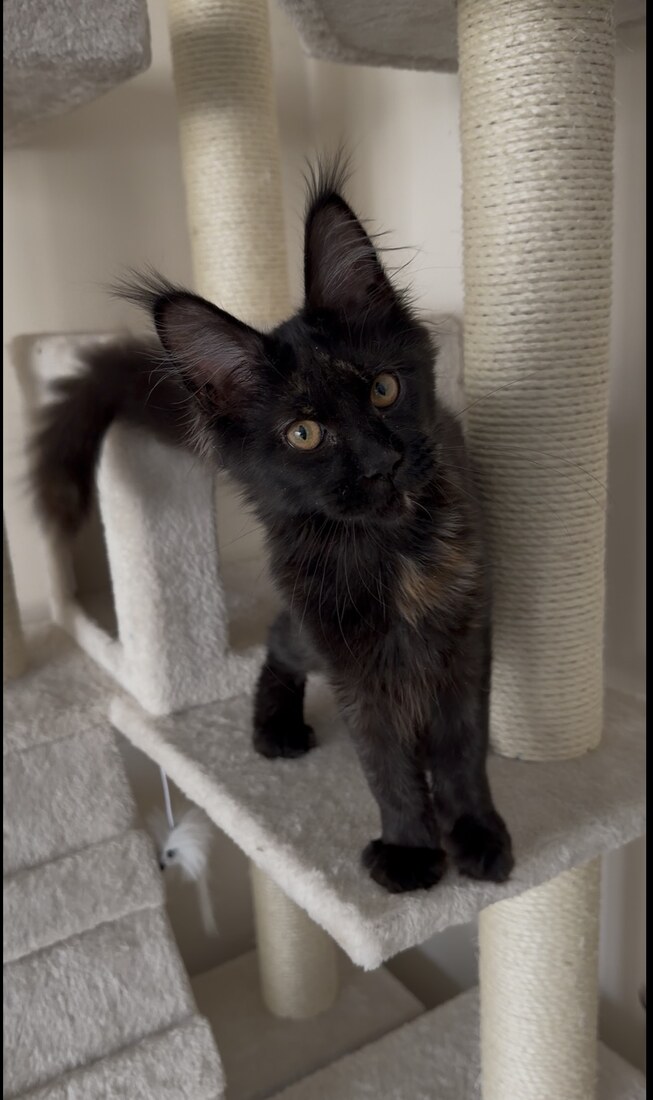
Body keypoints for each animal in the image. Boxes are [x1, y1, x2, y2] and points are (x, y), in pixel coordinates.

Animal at [30, 163, 513, 893]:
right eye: (303, 433)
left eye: (383, 389)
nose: (383, 462)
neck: (389, 553)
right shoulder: (353, 666)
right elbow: (386, 766)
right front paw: (410, 851)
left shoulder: (463, 637)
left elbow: (461, 750)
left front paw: (476, 834)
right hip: (311, 627)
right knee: (277, 646)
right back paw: (274, 730)